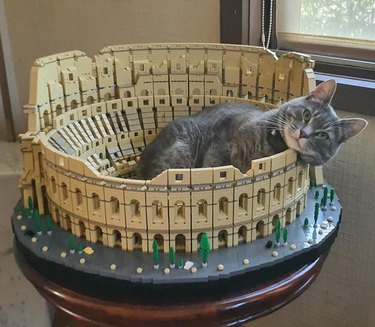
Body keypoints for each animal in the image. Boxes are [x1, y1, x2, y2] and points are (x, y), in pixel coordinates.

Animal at [137, 80, 368, 181]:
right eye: (306, 115)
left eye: (322, 135)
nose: (303, 133)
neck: (269, 147)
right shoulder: (221, 147)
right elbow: (215, 167)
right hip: (180, 151)